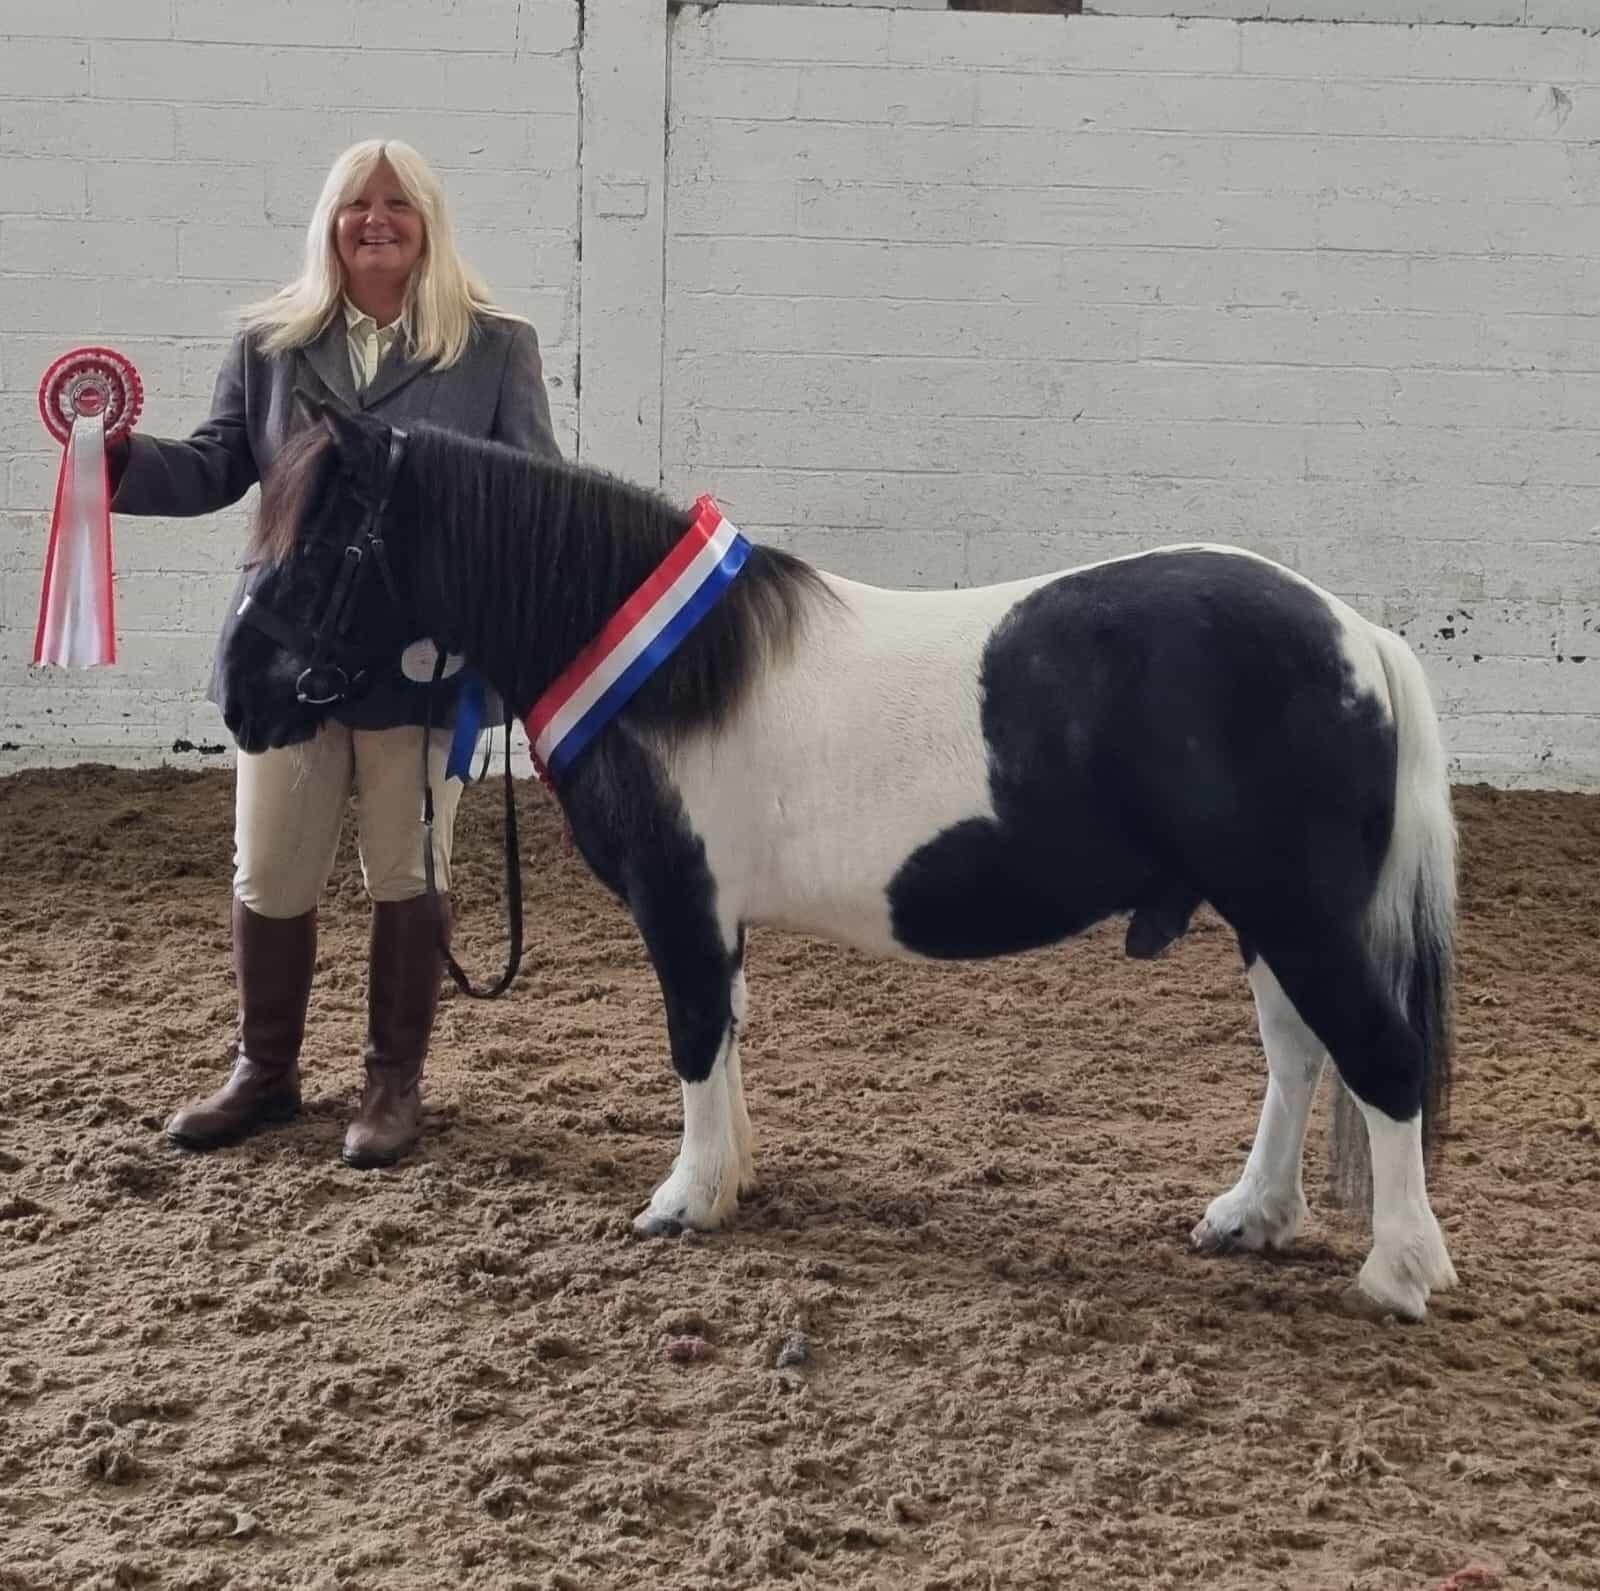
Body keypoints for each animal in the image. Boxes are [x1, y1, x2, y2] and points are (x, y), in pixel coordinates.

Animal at [221, 403, 1460, 1322]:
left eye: (321, 547)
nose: (237, 698)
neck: (670, 672)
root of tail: (1359, 637)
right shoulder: (716, 918)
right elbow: (726, 1035)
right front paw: (732, 1176)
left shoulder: (680, 902)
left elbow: (691, 1037)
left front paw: (683, 1199)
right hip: (1269, 918)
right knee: (1301, 1056)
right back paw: (1252, 1215)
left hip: (1298, 914)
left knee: (1377, 1059)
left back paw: (1399, 1273)